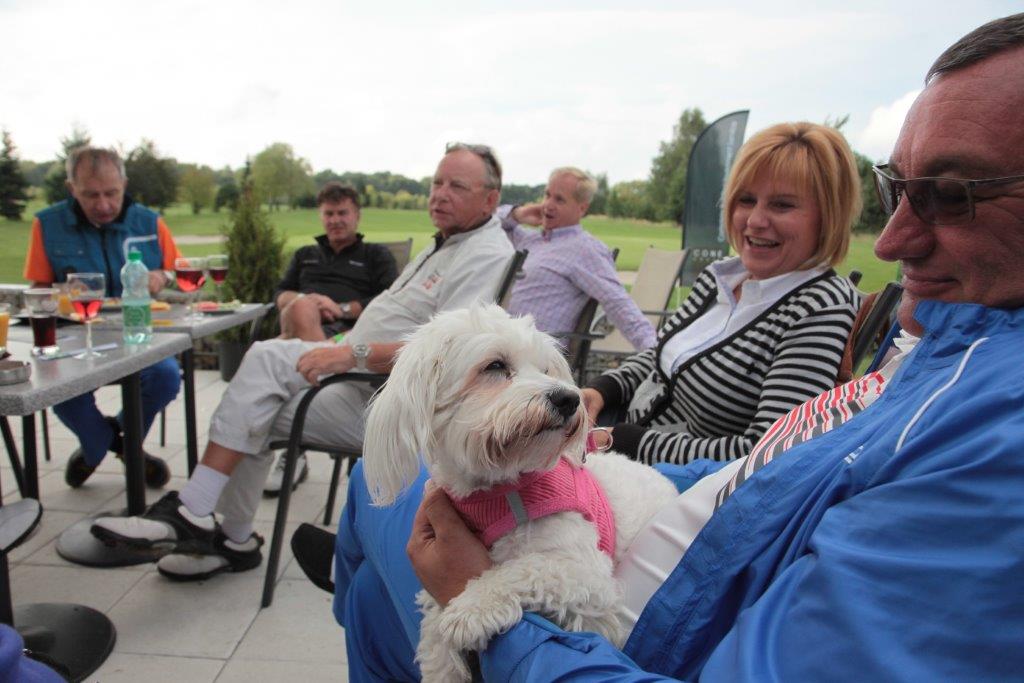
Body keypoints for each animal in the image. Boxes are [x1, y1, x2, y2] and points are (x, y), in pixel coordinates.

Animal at [363, 304, 678, 681]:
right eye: (495, 366)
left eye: (546, 369)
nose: (569, 398)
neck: (498, 492)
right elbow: (436, 644)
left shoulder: (594, 584)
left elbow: (527, 568)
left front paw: (473, 606)